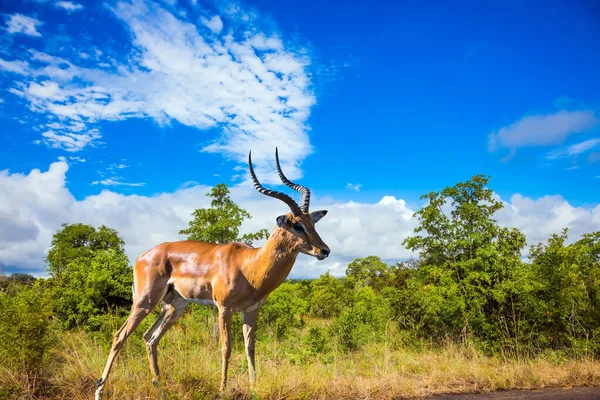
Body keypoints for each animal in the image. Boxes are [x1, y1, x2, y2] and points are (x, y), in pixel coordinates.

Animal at [92, 149, 332, 400]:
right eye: (297, 225)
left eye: (312, 223)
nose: (324, 250)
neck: (250, 266)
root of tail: (142, 256)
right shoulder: (224, 309)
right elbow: (226, 347)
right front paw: (223, 389)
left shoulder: (251, 310)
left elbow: (250, 348)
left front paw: (254, 388)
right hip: (144, 301)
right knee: (119, 336)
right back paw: (100, 390)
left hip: (174, 306)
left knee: (150, 337)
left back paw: (159, 386)